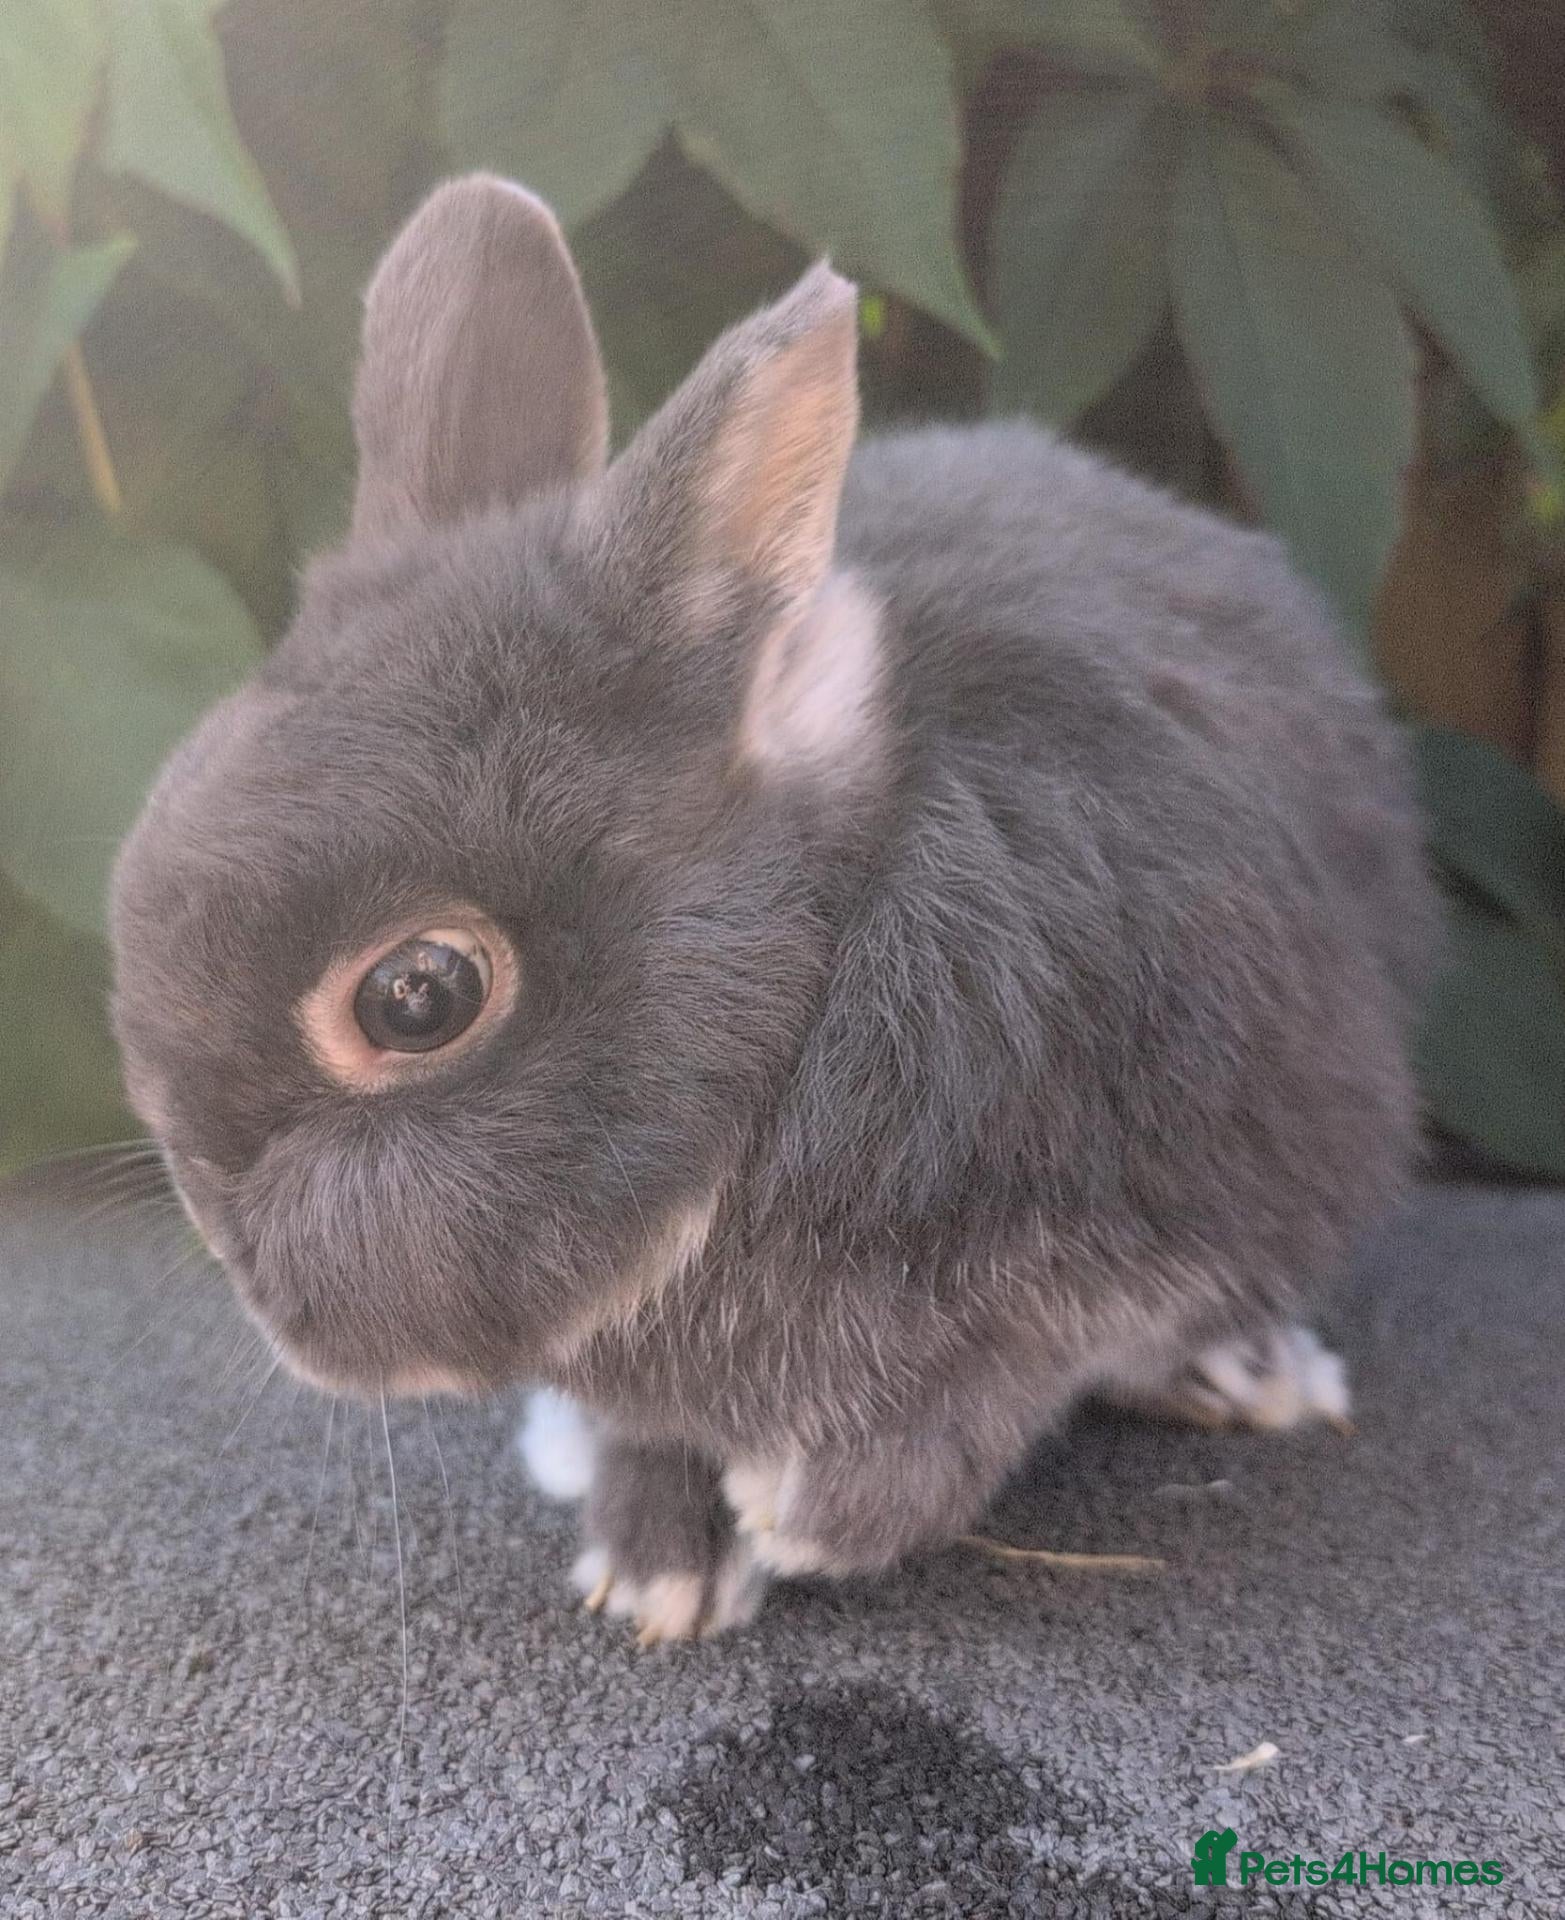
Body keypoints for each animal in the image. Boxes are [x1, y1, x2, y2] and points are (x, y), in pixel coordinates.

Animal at [111, 174, 1440, 1643]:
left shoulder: (1180, 1192)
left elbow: (1019, 1370)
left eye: (418, 995)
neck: (822, 976)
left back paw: (1255, 1378)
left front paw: (813, 1515)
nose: (261, 1291)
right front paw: (660, 1563)